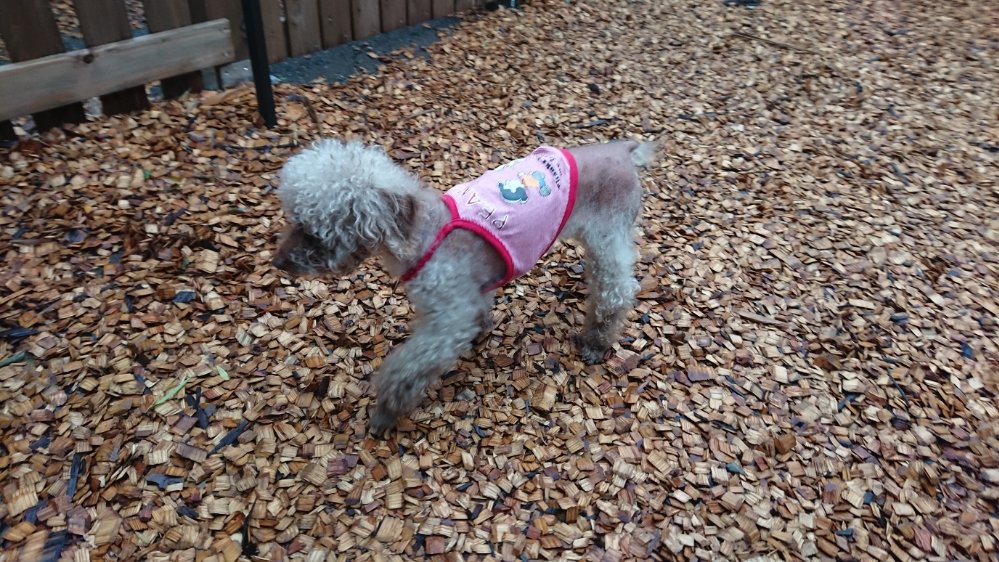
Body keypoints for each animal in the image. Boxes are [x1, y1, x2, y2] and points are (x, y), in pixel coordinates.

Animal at [272, 138, 656, 433]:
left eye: (312, 232)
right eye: (294, 220)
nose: (277, 263)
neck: (423, 233)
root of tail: (623, 150)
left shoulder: (446, 323)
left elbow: (407, 369)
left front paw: (385, 412)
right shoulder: (470, 293)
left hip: (608, 234)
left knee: (617, 290)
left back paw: (596, 340)